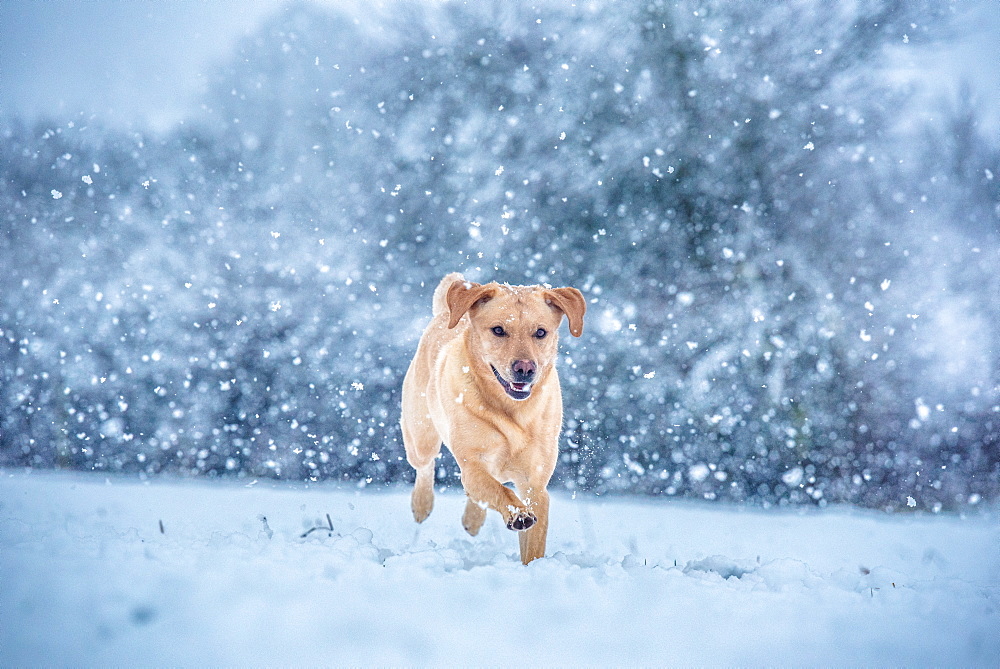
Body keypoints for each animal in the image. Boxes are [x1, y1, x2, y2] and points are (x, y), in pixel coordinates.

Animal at [400, 272, 584, 564]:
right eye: (498, 330)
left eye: (540, 332)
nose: (525, 368)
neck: (512, 411)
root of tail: (445, 312)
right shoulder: (473, 464)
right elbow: (501, 490)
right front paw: (518, 514)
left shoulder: (535, 485)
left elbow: (533, 544)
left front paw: (533, 567)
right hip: (421, 435)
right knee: (425, 465)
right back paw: (421, 505)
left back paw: (473, 520)